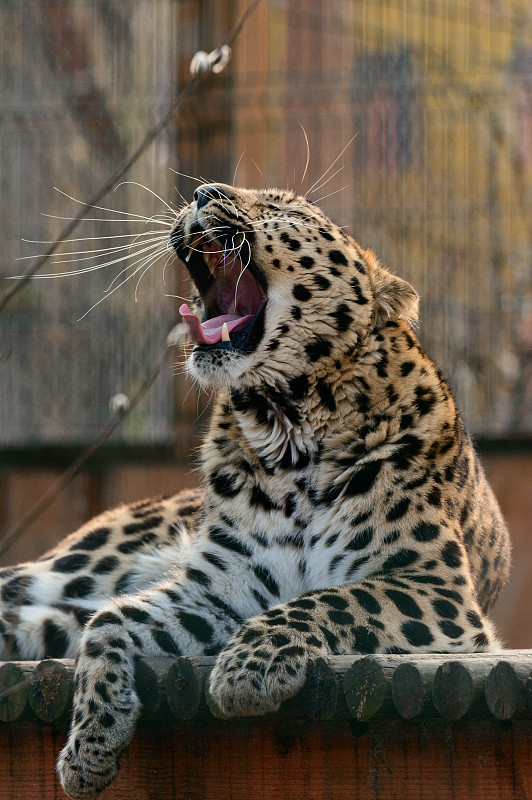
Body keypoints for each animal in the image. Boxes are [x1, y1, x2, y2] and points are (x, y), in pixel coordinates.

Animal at [0, 183, 512, 800]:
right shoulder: (221, 587)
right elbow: (109, 623)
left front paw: (248, 668)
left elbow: (333, 597)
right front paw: (90, 745)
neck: (287, 430)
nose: (201, 191)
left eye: (282, 208)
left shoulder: (435, 588)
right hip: (78, 566)